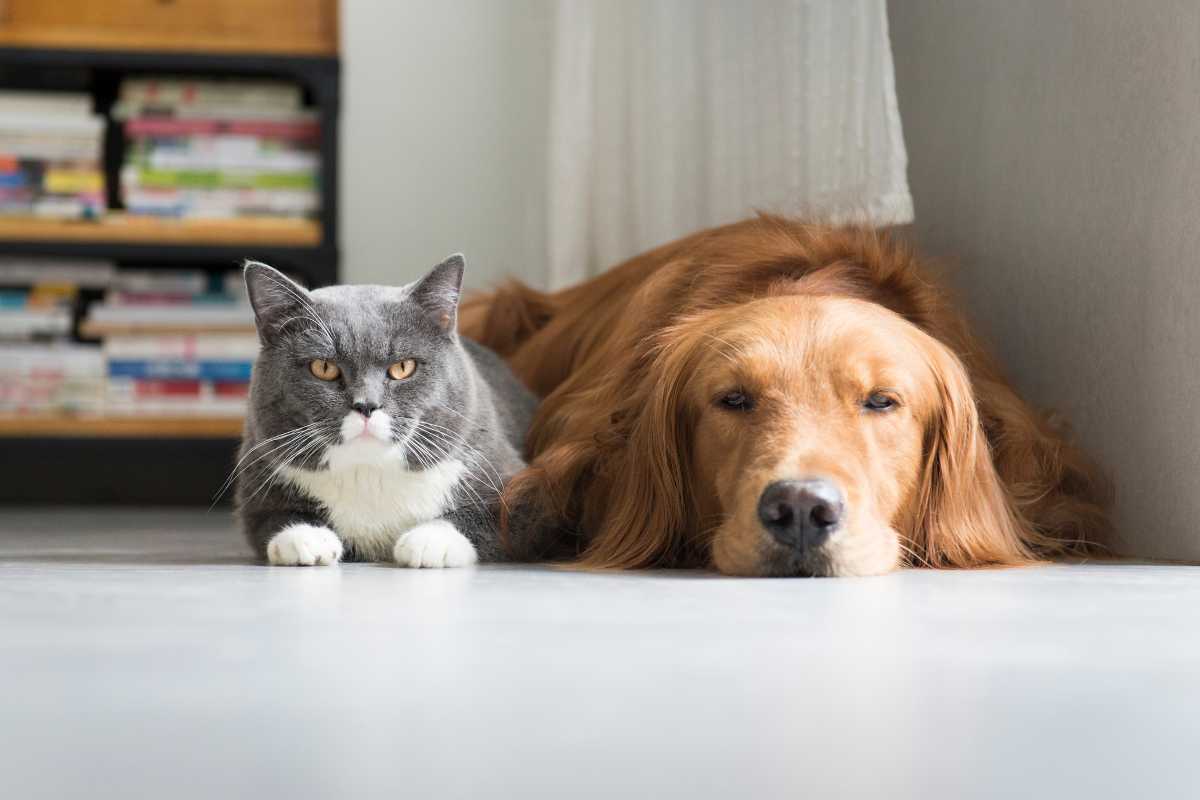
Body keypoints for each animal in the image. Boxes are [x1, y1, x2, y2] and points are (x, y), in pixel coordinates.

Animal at [234, 256, 535, 568]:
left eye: (403, 367)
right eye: (323, 367)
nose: (366, 404)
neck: (370, 471)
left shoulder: (518, 486)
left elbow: (489, 515)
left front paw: (429, 541)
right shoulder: (257, 481)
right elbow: (270, 517)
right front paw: (305, 538)